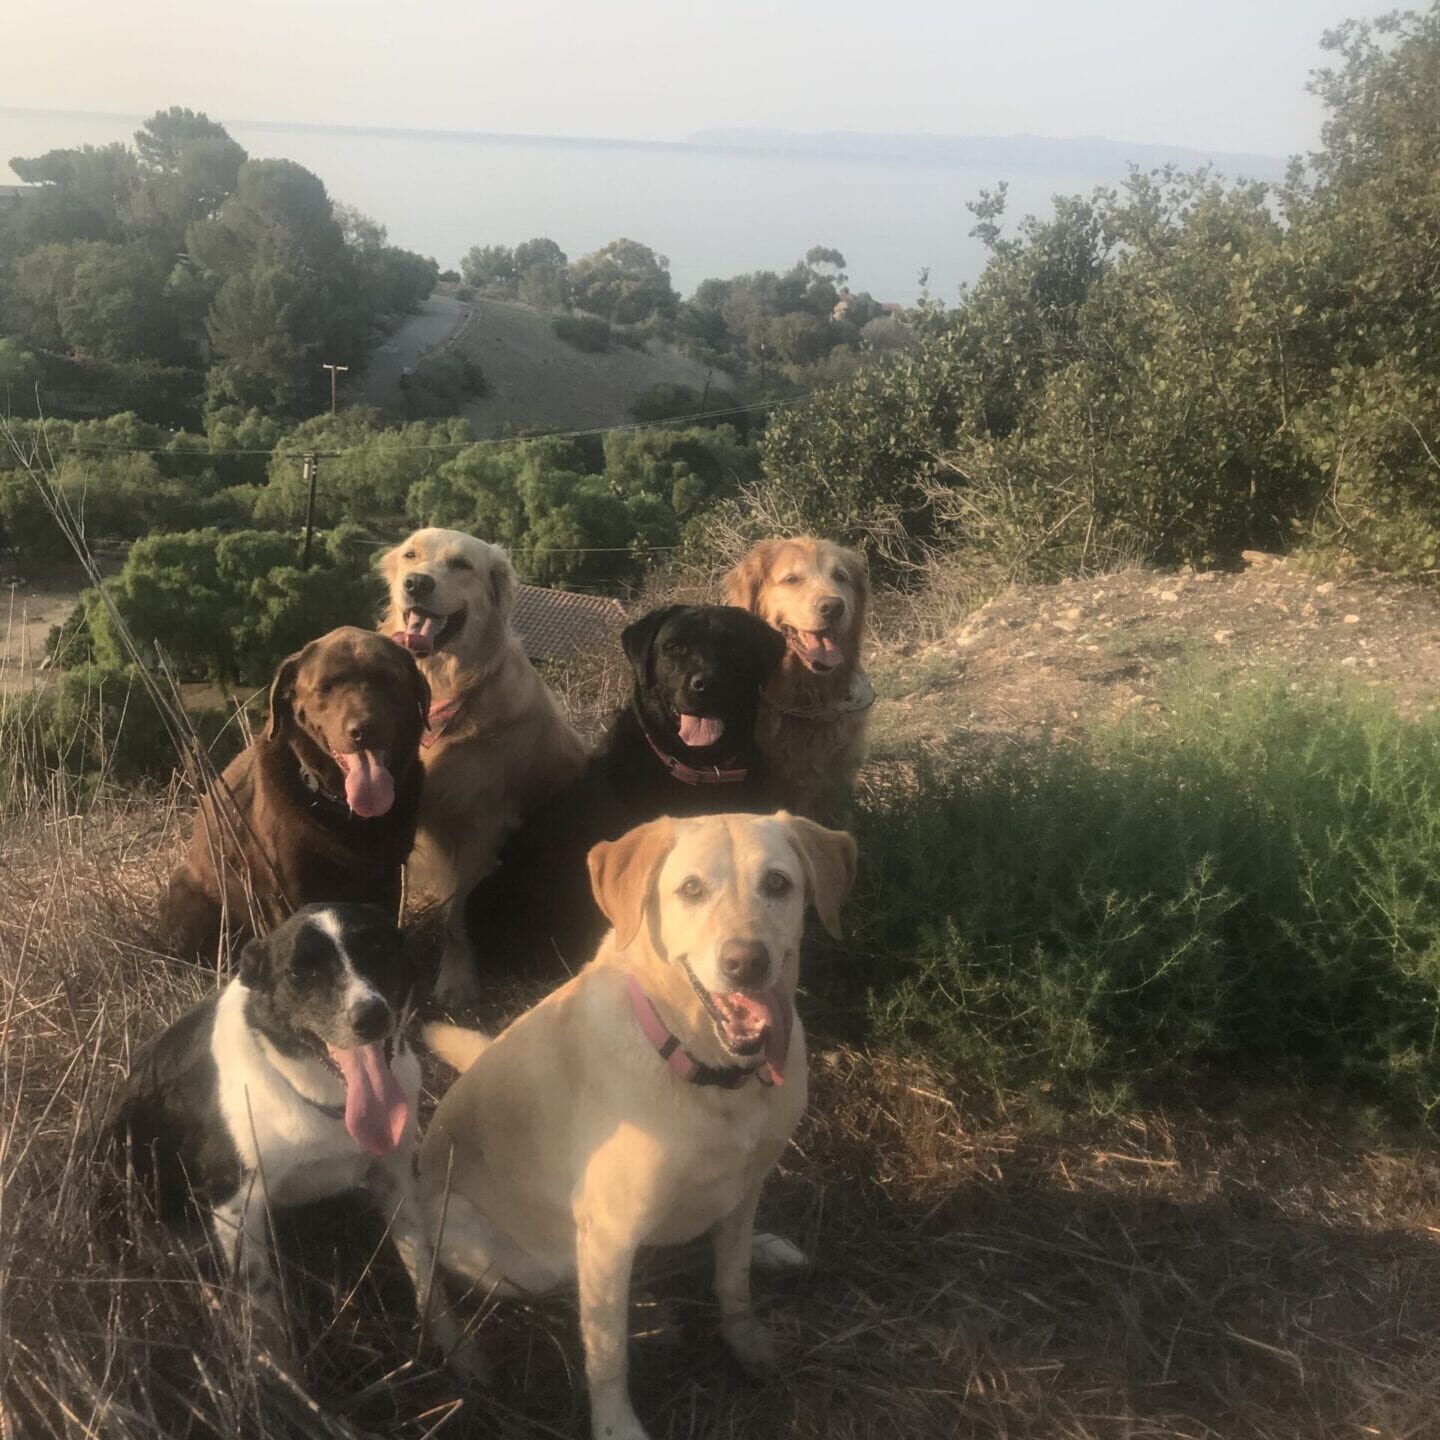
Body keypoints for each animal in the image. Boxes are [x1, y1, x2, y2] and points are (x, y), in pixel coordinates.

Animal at [108, 904, 478, 1376]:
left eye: (377, 947)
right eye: (300, 972)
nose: (371, 1017)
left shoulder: (395, 1177)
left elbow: (426, 1276)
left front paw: (464, 1358)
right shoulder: (236, 1208)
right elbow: (266, 1316)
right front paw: (286, 1385)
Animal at [164, 627, 429, 956]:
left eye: (389, 679)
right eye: (326, 686)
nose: (364, 729)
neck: (344, 810)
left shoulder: (388, 877)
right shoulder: (288, 890)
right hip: (183, 898)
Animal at [383, 527, 590, 1002]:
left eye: (461, 565)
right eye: (410, 555)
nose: (416, 584)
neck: (446, 685)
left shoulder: (482, 825)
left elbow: (457, 916)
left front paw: (457, 979)